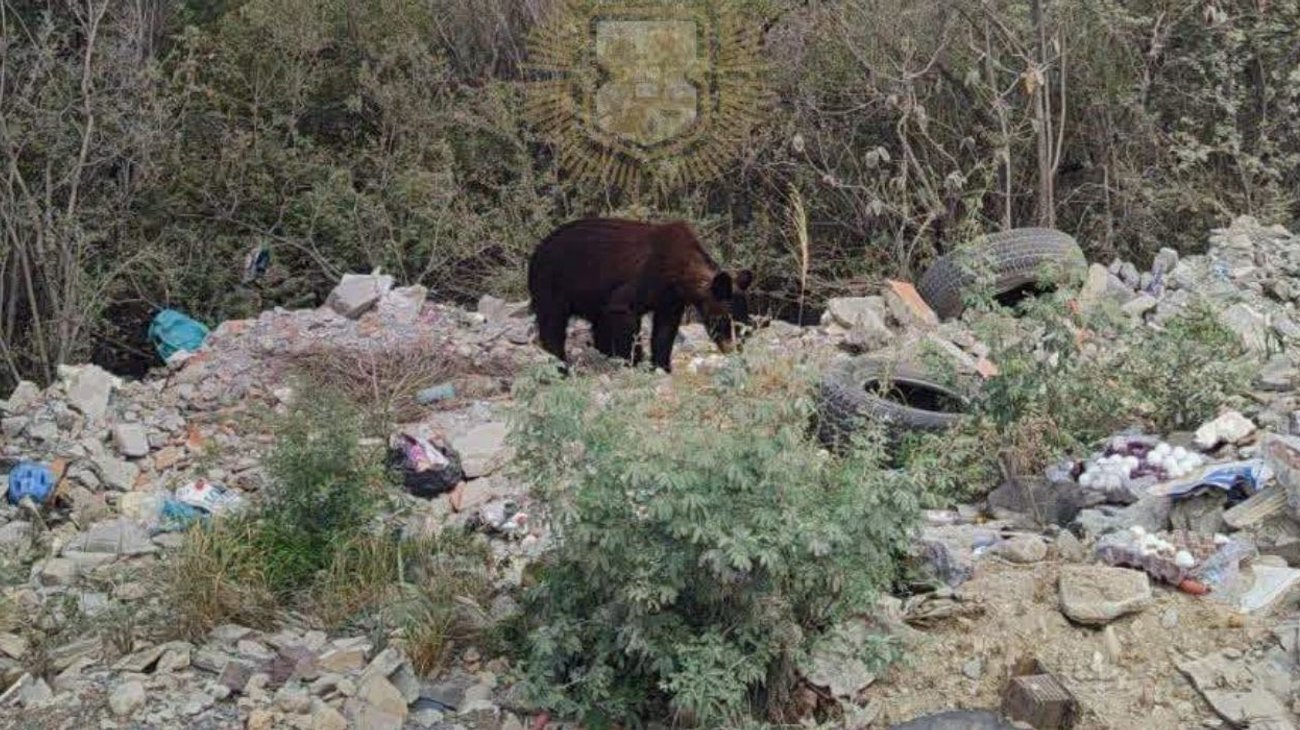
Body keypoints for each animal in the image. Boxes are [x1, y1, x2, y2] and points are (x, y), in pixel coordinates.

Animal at [527, 217, 754, 374]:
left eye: (746, 326)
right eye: (726, 322)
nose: (734, 350)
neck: (678, 269)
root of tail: (538, 250)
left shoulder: (670, 299)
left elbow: (665, 330)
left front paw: (662, 366)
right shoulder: (640, 281)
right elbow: (624, 313)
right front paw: (635, 361)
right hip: (551, 284)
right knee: (552, 323)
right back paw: (561, 365)